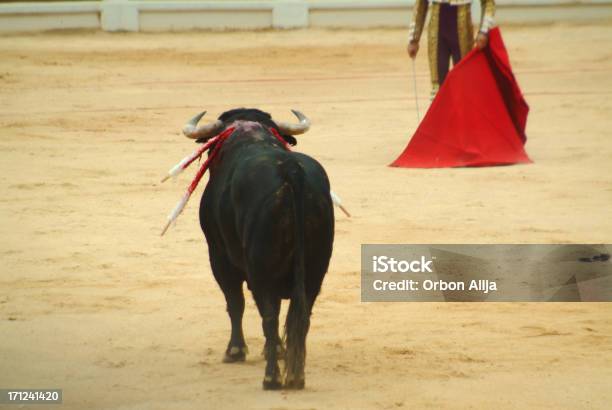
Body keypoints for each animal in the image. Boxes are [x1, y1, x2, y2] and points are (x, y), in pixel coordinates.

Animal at [190, 109, 334, 390]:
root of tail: (291, 171)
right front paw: (276, 350)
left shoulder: (219, 255)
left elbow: (235, 302)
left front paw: (235, 350)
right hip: (316, 270)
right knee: (301, 317)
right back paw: (296, 376)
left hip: (261, 269)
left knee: (268, 315)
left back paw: (271, 378)